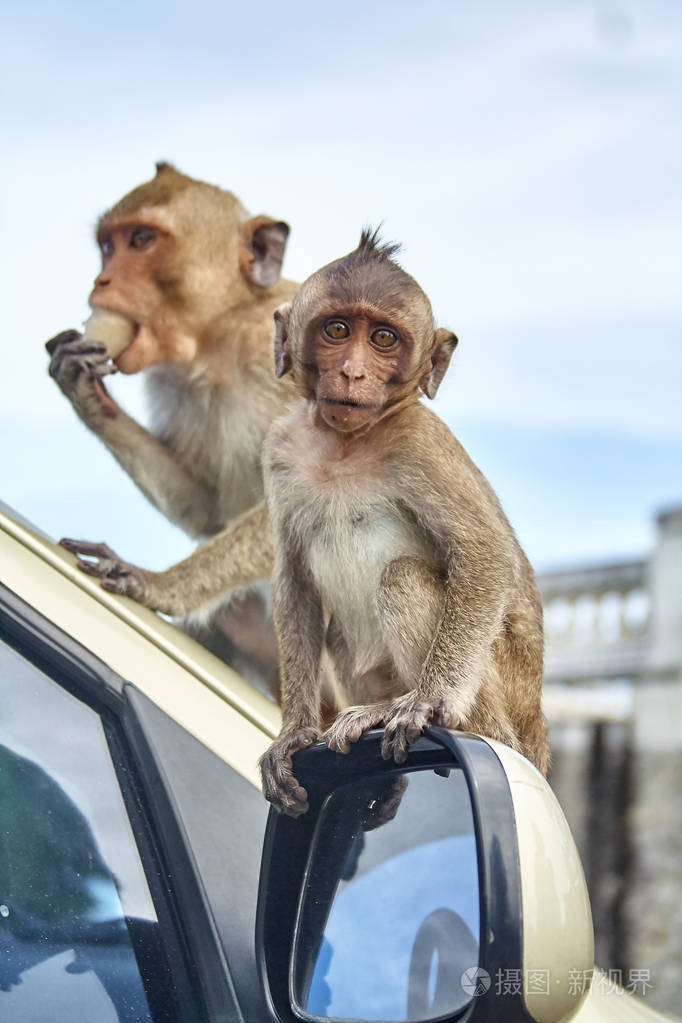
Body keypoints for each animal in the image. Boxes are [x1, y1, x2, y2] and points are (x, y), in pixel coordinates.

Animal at [49, 163, 300, 683]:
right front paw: (83, 386)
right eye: (108, 245)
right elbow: (207, 507)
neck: (216, 340)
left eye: (142, 239)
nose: (101, 281)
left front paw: (157, 585)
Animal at [255, 230, 548, 814]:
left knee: (403, 577)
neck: (346, 444)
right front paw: (295, 733)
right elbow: (295, 576)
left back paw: (430, 719)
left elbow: (484, 552)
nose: (353, 372)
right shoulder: (279, 448)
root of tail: (538, 722)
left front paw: (429, 700)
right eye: (338, 330)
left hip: (510, 688)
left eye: (384, 339)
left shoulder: (419, 441)